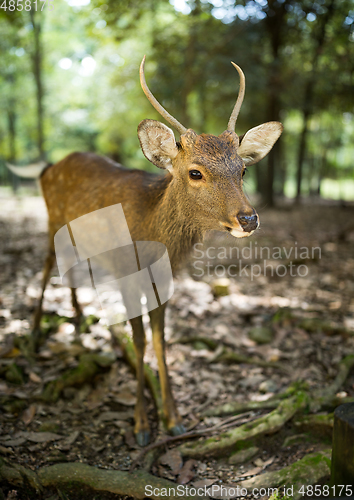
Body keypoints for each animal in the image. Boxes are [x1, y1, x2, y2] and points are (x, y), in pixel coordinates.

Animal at [8, 55, 282, 446]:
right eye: (195, 172)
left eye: (243, 170)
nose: (248, 219)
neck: (152, 239)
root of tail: (47, 168)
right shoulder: (126, 273)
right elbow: (139, 341)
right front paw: (140, 425)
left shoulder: (163, 279)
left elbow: (160, 340)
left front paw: (174, 419)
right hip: (51, 220)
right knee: (47, 265)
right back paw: (32, 333)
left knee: (72, 265)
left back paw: (79, 320)